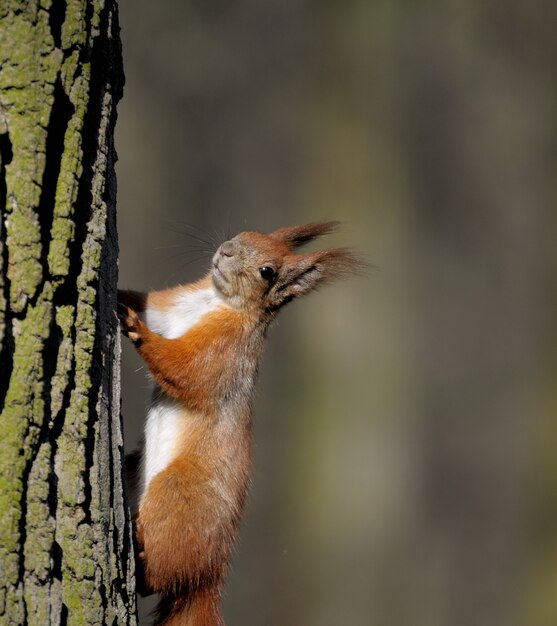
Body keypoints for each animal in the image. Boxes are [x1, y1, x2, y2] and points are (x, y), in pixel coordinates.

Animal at [118, 222, 360, 624]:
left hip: (177, 494)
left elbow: (184, 368)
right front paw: (119, 295)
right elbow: (148, 302)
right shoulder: (173, 306)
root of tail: (211, 575)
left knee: (159, 577)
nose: (225, 250)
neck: (215, 301)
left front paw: (135, 327)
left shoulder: (223, 351)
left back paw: (139, 559)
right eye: (247, 232)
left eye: (267, 272)